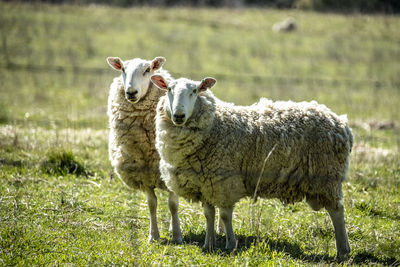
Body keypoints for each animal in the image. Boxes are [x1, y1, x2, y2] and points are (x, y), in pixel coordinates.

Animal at [105, 56, 182, 245]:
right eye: (122, 69)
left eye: (147, 70)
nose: (131, 92)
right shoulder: (143, 171)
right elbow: (151, 204)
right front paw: (153, 236)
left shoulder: (170, 169)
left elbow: (173, 204)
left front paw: (177, 235)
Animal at [151, 75, 354, 262]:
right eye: (169, 89)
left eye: (194, 91)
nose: (178, 116)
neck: (214, 124)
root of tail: (341, 124)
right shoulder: (206, 183)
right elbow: (209, 214)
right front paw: (209, 244)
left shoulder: (224, 181)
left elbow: (225, 215)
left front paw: (231, 244)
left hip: (327, 176)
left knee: (337, 211)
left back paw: (343, 251)